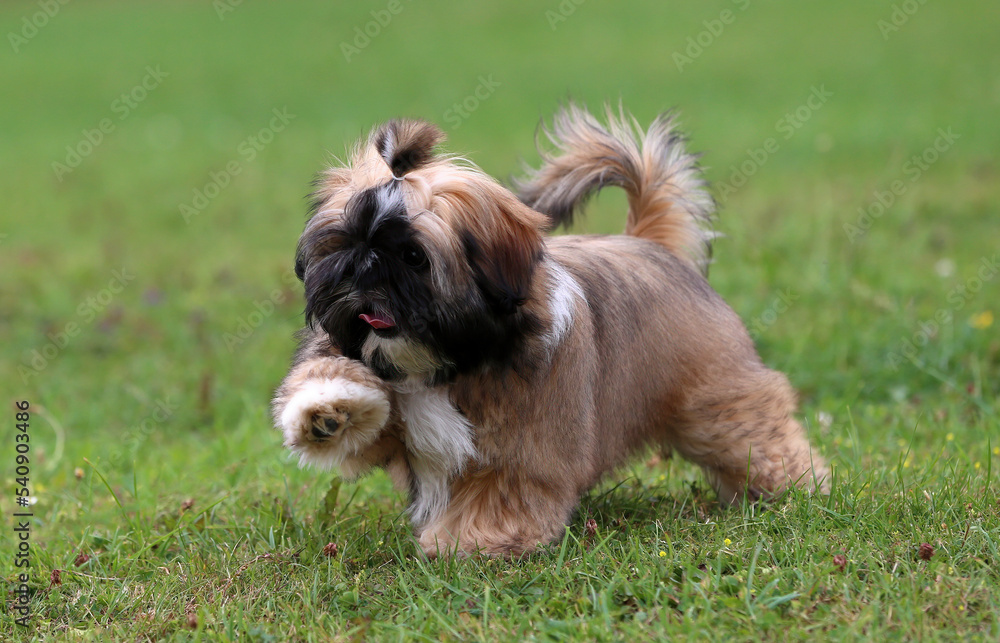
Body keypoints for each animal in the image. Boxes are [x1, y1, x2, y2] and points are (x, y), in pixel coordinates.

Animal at [274, 103, 828, 556]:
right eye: (344, 244)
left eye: (412, 256)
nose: (361, 268)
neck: (450, 361)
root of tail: (651, 244)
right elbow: (351, 400)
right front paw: (325, 412)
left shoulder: (524, 444)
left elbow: (502, 487)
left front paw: (474, 541)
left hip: (712, 397)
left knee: (751, 430)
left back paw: (797, 485)